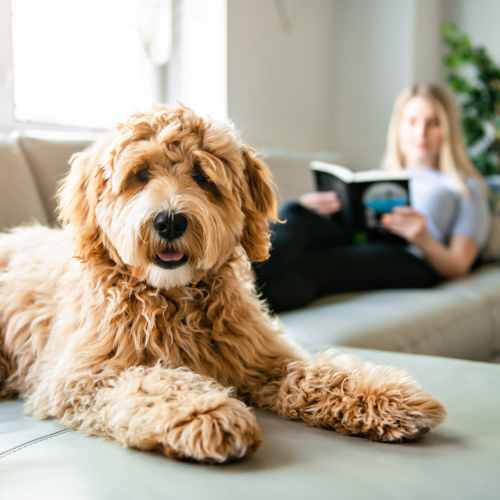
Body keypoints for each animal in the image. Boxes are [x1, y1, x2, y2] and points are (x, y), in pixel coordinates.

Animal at [0, 106, 446, 464]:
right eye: (140, 175)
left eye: (202, 176)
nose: (169, 221)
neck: (173, 298)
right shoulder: (82, 377)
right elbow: (150, 381)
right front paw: (206, 414)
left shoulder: (263, 357)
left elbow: (318, 371)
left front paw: (387, 396)